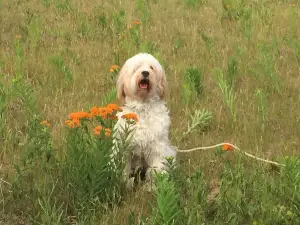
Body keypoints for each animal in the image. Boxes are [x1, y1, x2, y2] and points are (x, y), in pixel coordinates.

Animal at [114, 52, 176, 186]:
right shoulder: (124, 147)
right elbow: (124, 170)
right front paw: (124, 183)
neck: (142, 108)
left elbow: (156, 170)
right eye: (137, 67)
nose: (145, 73)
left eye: (151, 67)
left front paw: (153, 187)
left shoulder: (157, 148)